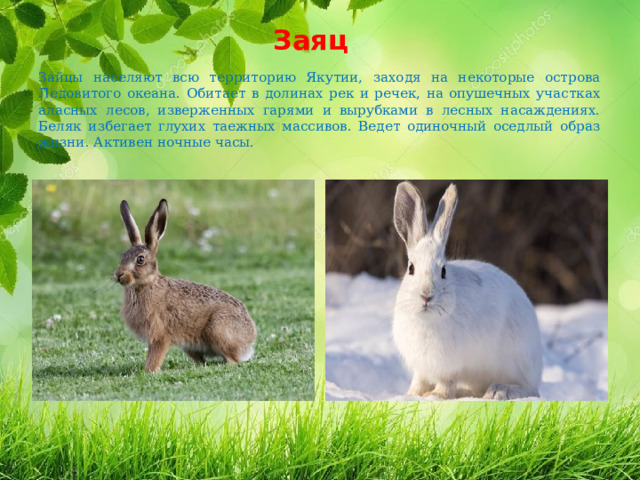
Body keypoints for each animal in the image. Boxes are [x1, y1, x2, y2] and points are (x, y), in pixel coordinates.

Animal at [114, 199, 257, 373]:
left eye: (140, 260)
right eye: (122, 256)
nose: (118, 275)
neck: (146, 284)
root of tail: (250, 340)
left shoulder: (160, 336)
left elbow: (154, 357)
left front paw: (149, 371)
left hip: (218, 328)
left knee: (232, 360)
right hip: (189, 346)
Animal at [392, 182, 542, 400]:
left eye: (443, 271)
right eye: (411, 268)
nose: (426, 296)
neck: (427, 321)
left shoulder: (449, 365)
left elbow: (446, 382)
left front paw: (436, 396)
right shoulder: (421, 366)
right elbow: (419, 380)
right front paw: (412, 394)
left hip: (517, 361)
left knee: (530, 390)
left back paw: (499, 390)